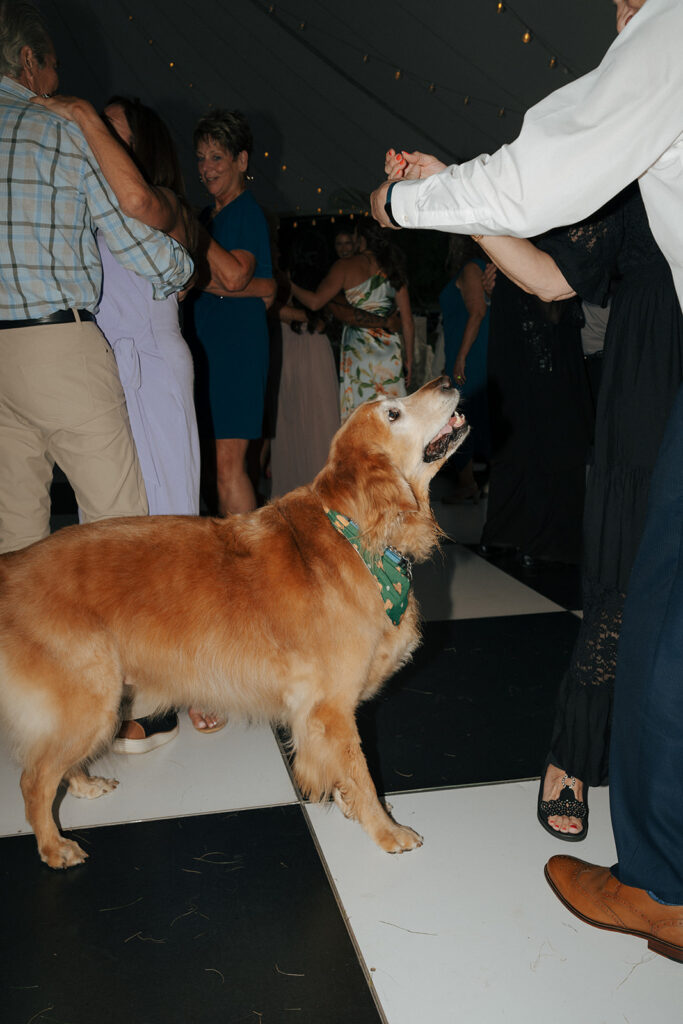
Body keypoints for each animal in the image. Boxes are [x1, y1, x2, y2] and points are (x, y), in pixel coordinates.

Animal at [0, 376, 466, 864]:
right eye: (393, 414)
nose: (448, 381)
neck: (353, 532)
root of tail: (11, 565)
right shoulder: (331, 708)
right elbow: (361, 772)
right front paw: (385, 829)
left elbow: (340, 770)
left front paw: (348, 804)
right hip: (92, 699)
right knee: (33, 778)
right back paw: (53, 845)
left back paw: (84, 784)